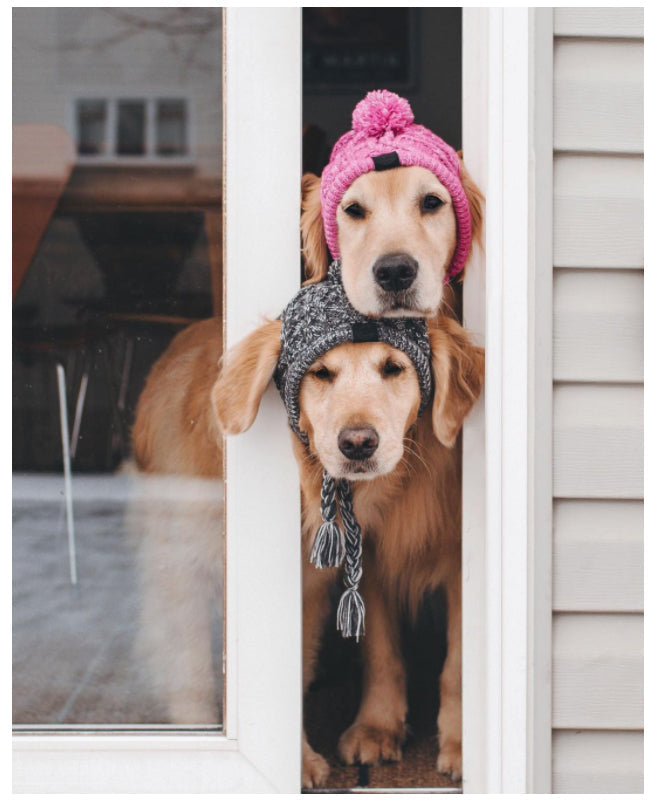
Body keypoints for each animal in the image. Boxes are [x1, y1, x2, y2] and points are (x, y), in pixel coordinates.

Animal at [210, 312, 484, 784]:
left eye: (393, 368)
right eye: (321, 373)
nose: (357, 443)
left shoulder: (457, 558)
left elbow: (458, 664)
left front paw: (461, 744)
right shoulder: (368, 558)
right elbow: (380, 650)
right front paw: (377, 726)